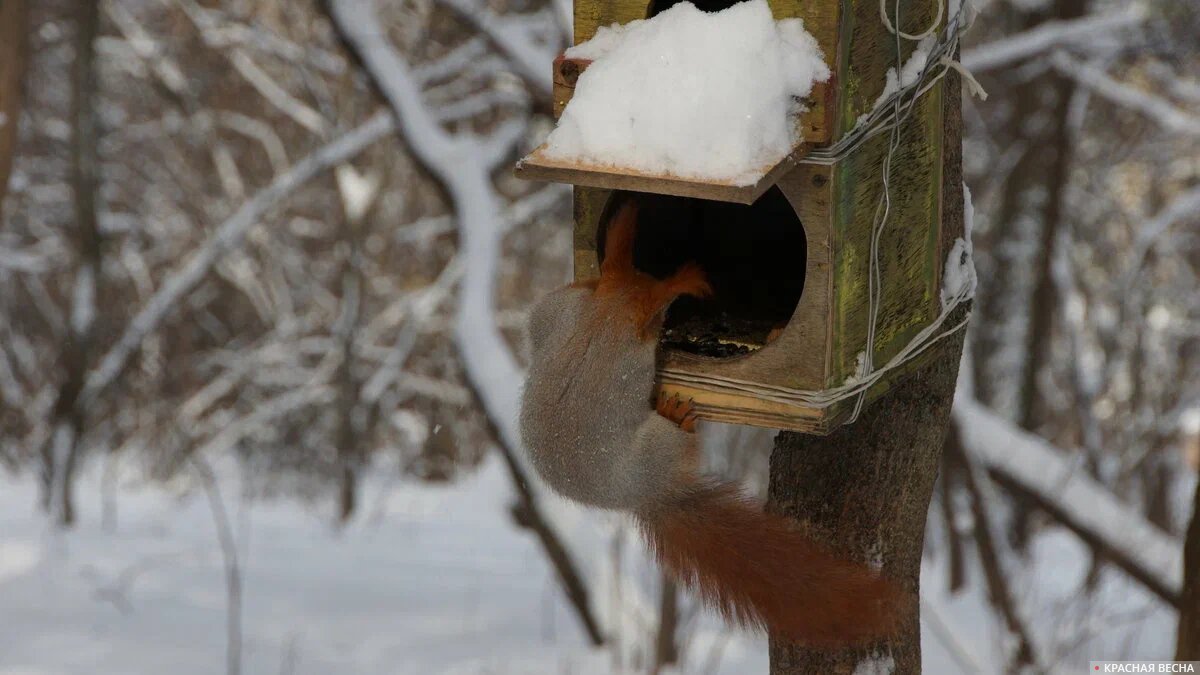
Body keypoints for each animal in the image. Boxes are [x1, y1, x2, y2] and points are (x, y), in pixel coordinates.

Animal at [520, 196, 902, 643]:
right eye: (663, 314)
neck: (601, 321)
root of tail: (648, 494)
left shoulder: (559, 312)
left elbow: (543, 317)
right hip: (658, 444)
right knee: (680, 442)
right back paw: (679, 415)